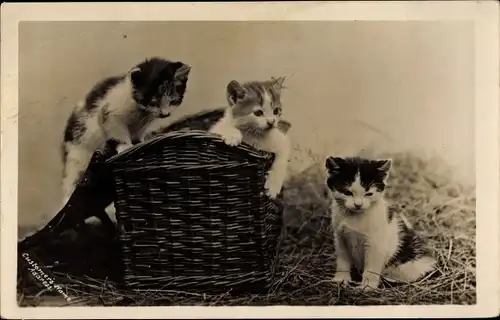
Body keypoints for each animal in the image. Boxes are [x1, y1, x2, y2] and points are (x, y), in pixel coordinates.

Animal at [59, 57, 191, 206]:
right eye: (153, 101)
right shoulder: (109, 113)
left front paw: (139, 142)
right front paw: (125, 147)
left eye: (172, 101)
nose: (165, 114)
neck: (139, 110)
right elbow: (117, 132)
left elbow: (139, 134)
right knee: (72, 183)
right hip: (78, 155)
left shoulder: (144, 122)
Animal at [324, 156, 438, 292]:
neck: (354, 216)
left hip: (410, 263)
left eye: (368, 194)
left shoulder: (375, 243)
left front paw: (368, 286)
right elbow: (342, 260)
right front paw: (341, 279)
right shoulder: (340, 237)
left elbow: (371, 267)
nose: (358, 205)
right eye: (347, 192)